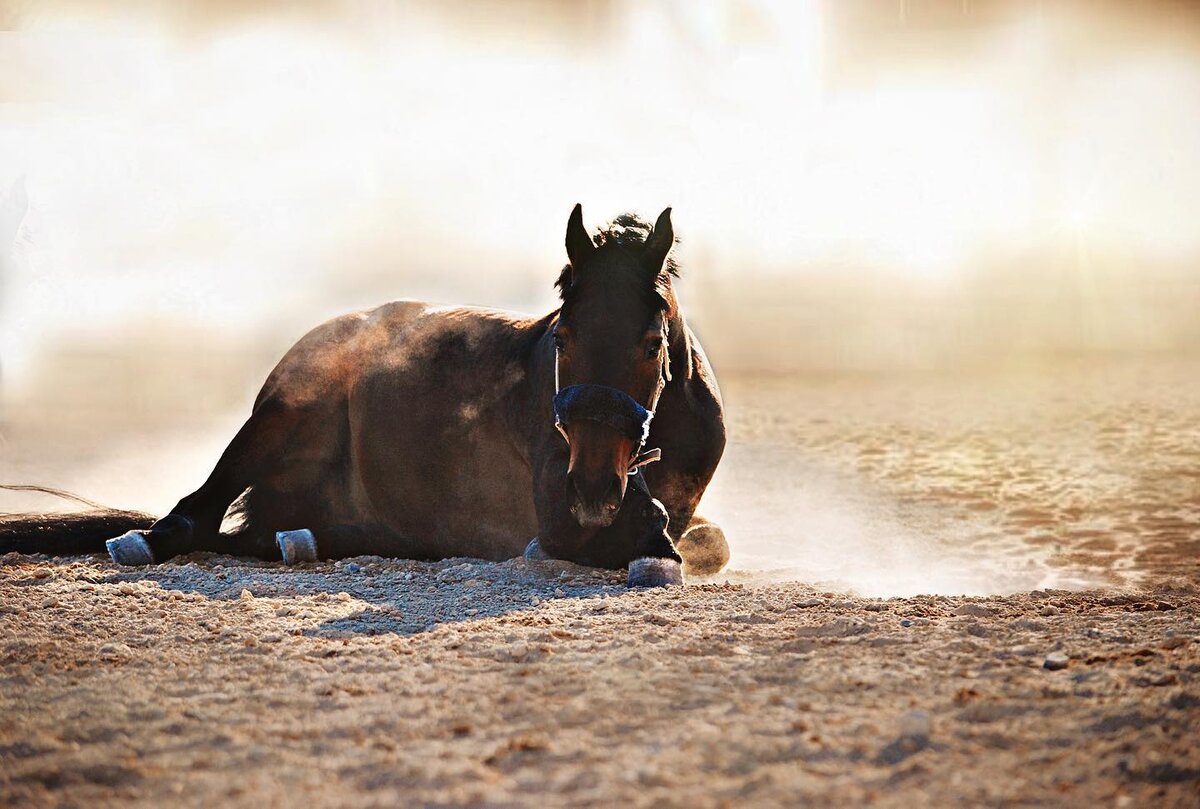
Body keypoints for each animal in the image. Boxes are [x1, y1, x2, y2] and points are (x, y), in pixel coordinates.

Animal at [0, 206, 724, 585]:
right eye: (564, 338)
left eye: (652, 343)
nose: (596, 487)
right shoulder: (557, 507)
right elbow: (633, 544)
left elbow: (707, 541)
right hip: (281, 415)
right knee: (193, 520)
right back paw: (144, 543)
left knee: (261, 534)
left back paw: (303, 540)